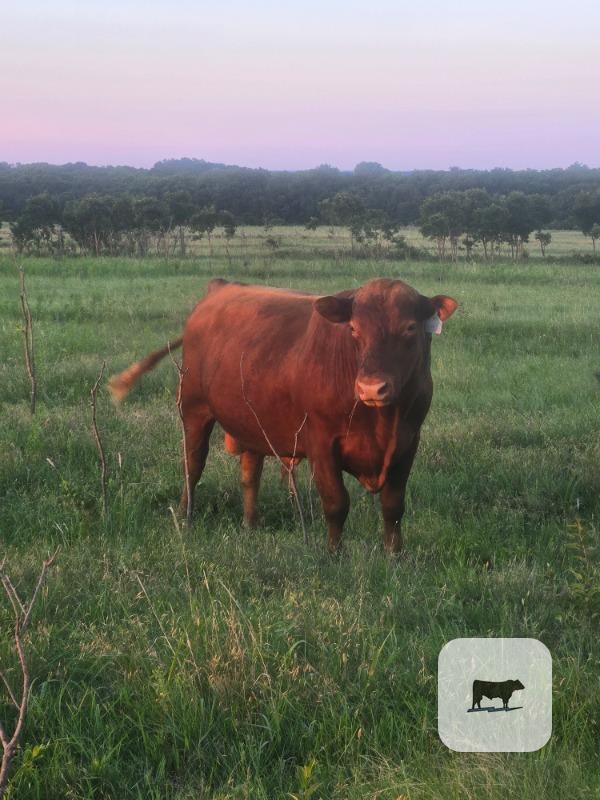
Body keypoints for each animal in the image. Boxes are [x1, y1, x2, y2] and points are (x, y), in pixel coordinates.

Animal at [109, 277, 458, 553]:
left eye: (410, 328)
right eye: (354, 329)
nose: (371, 388)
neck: (380, 420)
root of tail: (221, 287)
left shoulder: (408, 443)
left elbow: (393, 506)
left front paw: (395, 556)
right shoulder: (321, 443)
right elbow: (336, 503)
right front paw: (335, 554)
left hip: (251, 423)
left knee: (250, 474)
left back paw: (250, 525)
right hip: (194, 410)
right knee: (192, 467)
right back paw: (186, 517)